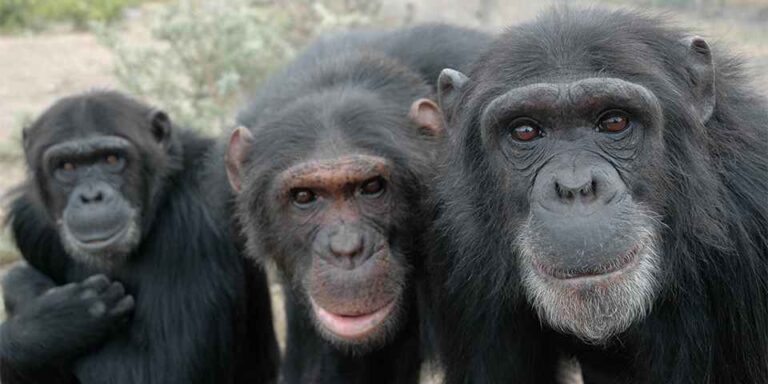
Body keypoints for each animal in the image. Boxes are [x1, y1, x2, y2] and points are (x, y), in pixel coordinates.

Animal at [0, 92, 280, 384]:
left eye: (112, 159)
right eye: (66, 166)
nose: (91, 196)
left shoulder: (196, 226)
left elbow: (159, 371)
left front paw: (45, 305)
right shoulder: (28, 221)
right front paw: (49, 322)